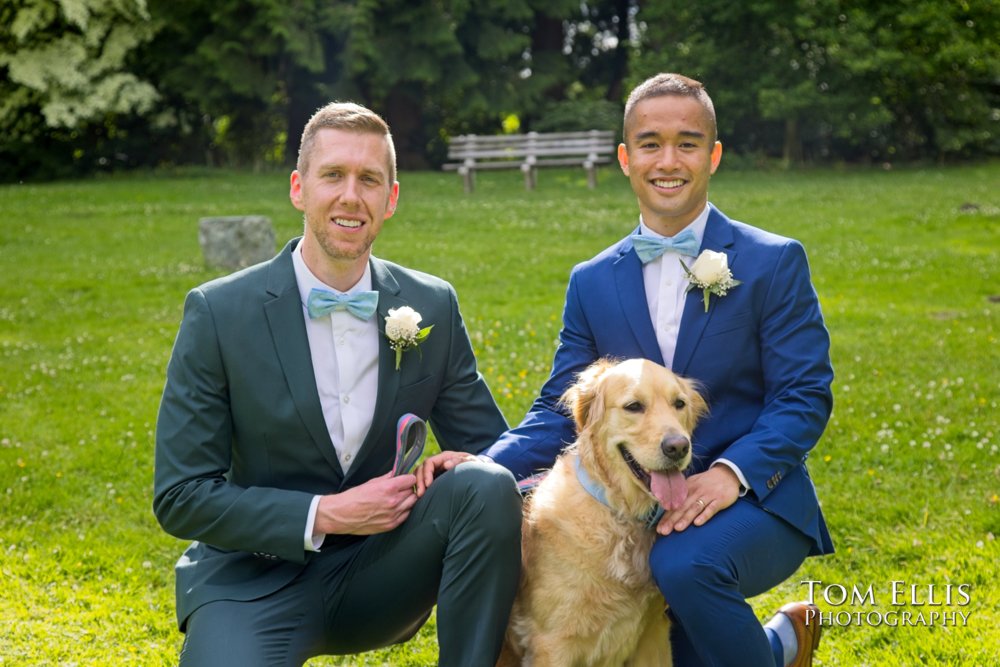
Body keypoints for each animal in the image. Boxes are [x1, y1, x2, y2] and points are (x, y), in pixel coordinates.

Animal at [496, 360, 708, 667]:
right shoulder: (552, 643)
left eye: (679, 403)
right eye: (634, 406)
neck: (619, 514)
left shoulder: (653, 632)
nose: (678, 447)